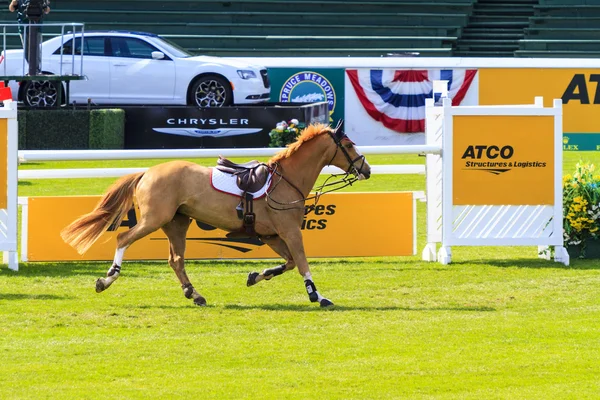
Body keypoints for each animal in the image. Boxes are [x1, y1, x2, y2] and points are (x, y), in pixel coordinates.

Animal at [61, 123, 370, 308]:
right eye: (350, 145)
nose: (366, 170)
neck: (286, 181)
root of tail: (147, 172)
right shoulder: (290, 232)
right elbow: (303, 263)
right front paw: (317, 295)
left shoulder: (272, 235)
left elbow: (290, 263)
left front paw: (256, 275)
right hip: (154, 220)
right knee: (124, 238)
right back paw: (106, 280)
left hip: (176, 223)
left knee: (176, 260)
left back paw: (194, 293)